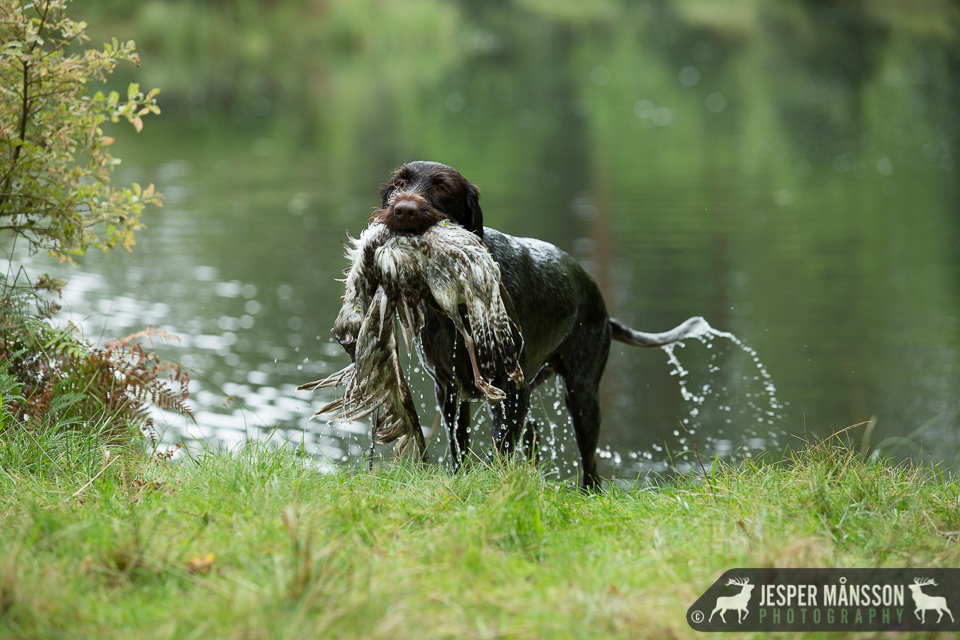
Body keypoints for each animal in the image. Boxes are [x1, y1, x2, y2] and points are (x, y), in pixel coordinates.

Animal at [336, 161, 704, 490]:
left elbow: (500, 447)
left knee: (590, 468)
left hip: (582, 395)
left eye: (442, 188)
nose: (403, 209)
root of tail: (598, 301)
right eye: (400, 182)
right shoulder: (449, 388)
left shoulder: (511, 390)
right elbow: (460, 448)